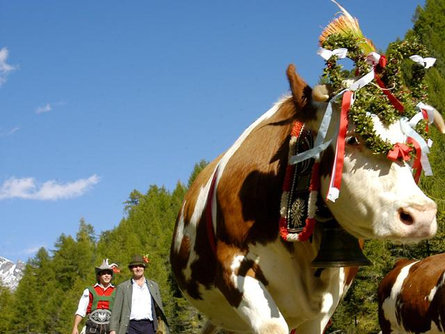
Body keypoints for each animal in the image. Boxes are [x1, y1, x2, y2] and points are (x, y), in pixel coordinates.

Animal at [169, 64, 440, 332]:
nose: (422, 215)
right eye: (352, 137)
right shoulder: (233, 266)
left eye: (410, 144)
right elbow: (272, 326)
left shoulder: (326, 301)